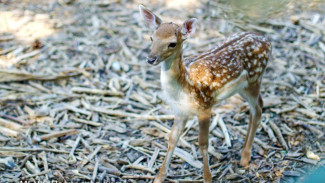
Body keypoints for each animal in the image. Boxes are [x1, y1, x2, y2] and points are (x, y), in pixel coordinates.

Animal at [138, 5, 272, 182]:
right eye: (151, 38)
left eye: (172, 43)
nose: (151, 59)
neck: (184, 86)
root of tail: (267, 40)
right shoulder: (179, 111)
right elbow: (172, 138)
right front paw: (159, 177)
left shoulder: (205, 106)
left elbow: (203, 144)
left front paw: (207, 178)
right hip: (243, 88)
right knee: (256, 106)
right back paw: (243, 150)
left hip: (254, 79)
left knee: (258, 109)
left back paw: (245, 158)